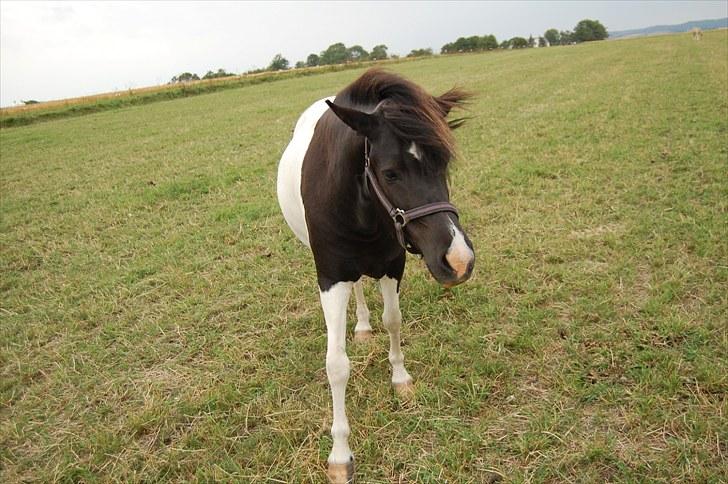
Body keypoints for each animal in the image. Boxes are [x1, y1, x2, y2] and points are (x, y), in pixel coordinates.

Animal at [276, 69, 474, 484]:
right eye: (390, 173)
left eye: (444, 162)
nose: (459, 259)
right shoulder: (330, 278)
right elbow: (336, 364)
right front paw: (340, 453)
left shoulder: (392, 264)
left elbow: (394, 321)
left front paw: (400, 380)